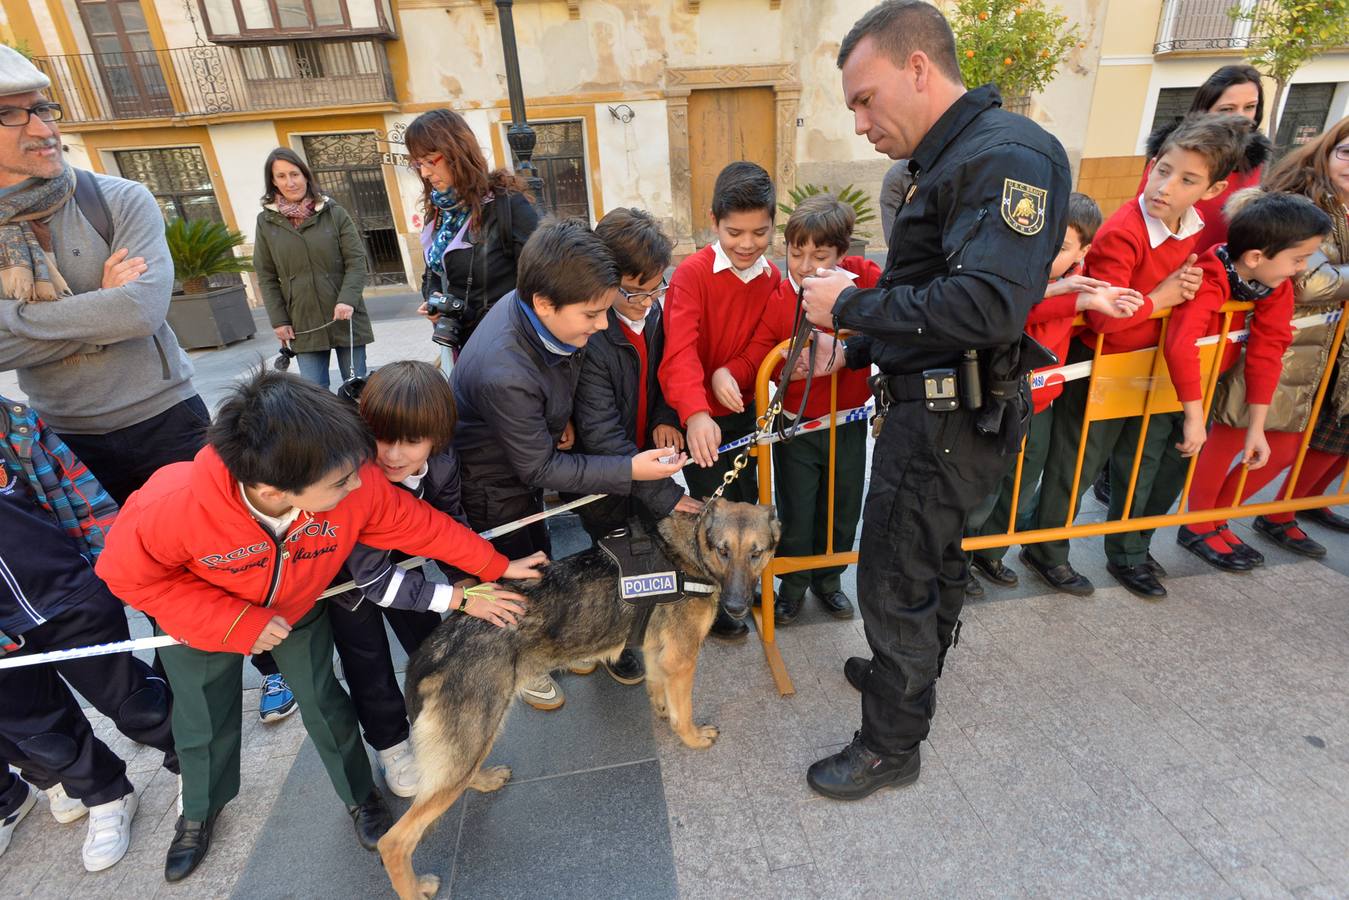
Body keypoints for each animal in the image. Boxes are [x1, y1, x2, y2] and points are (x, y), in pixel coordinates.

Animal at [377, 504, 782, 895]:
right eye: (723, 551)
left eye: (756, 553)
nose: (736, 606)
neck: (692, 550)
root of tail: (432, 651)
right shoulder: (681, 658)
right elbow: (684, 713)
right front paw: (693, 737)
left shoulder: (657, 652)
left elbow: (658, 688)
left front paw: (662, 710)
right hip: (473, 734)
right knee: (394, 843)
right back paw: (415, 886)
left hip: (471, 742)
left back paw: (486, 779)